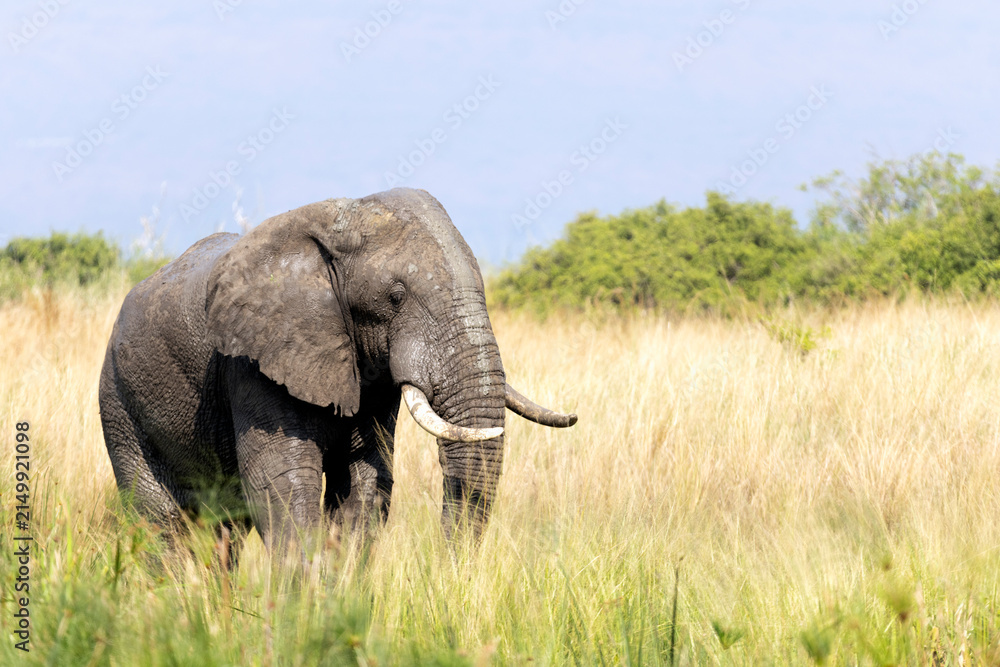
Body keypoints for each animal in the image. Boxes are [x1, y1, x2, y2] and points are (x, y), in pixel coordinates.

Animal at [98, 187, 576, 556]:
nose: (448, 573)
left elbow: (364, 486)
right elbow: (281, 486)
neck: (338, 222)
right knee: (159, 521)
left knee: (223, 533)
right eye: (396, 297)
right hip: (118, 405)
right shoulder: (252, 364)